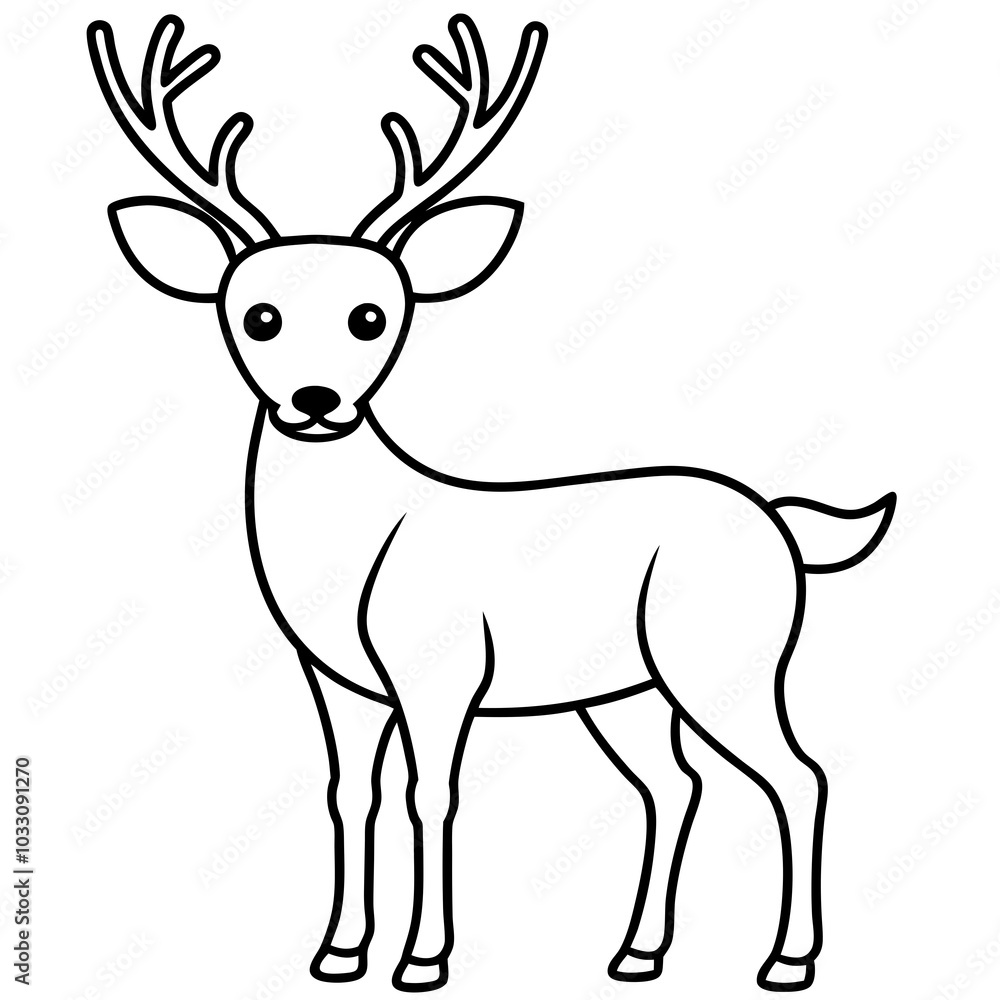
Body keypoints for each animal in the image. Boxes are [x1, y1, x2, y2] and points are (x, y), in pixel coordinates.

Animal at [88, 13, 895, 993]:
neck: (353, 552)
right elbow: (349, 794)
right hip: (623, 690)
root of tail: (782, 524)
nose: (316, 400)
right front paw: (338, 951)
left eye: (372, 316)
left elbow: (431, 795)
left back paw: (786, 960)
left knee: (800, 775)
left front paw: (423, 958)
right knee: (677, 785)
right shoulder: (337, 680)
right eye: (257, 316)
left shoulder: (443, 669)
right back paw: (637, 953)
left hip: (726, 655)